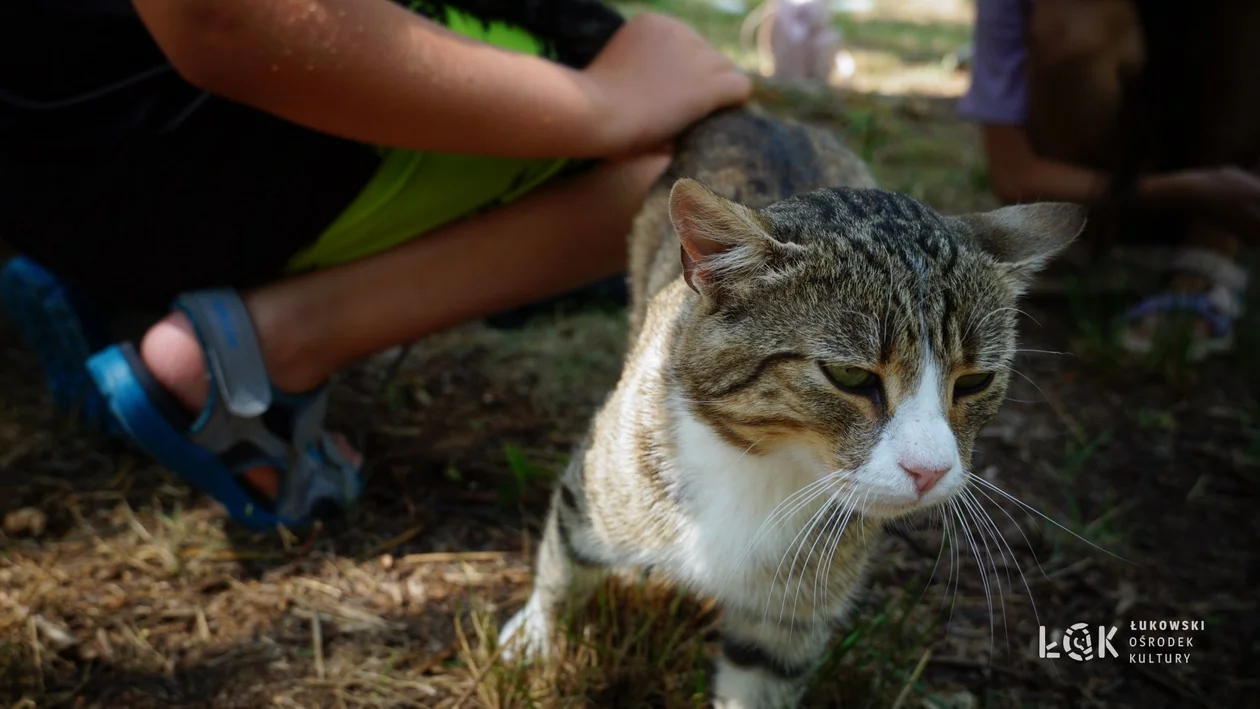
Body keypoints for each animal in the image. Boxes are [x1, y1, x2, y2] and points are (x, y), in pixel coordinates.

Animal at [496, 107, 1088, 709]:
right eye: (850, 375)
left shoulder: (789, 615)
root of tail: (753, 112)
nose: (930, 471)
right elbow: (564, 560)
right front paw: (534, 638)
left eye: (975, 382)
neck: (762, 465)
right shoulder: (598, 483)